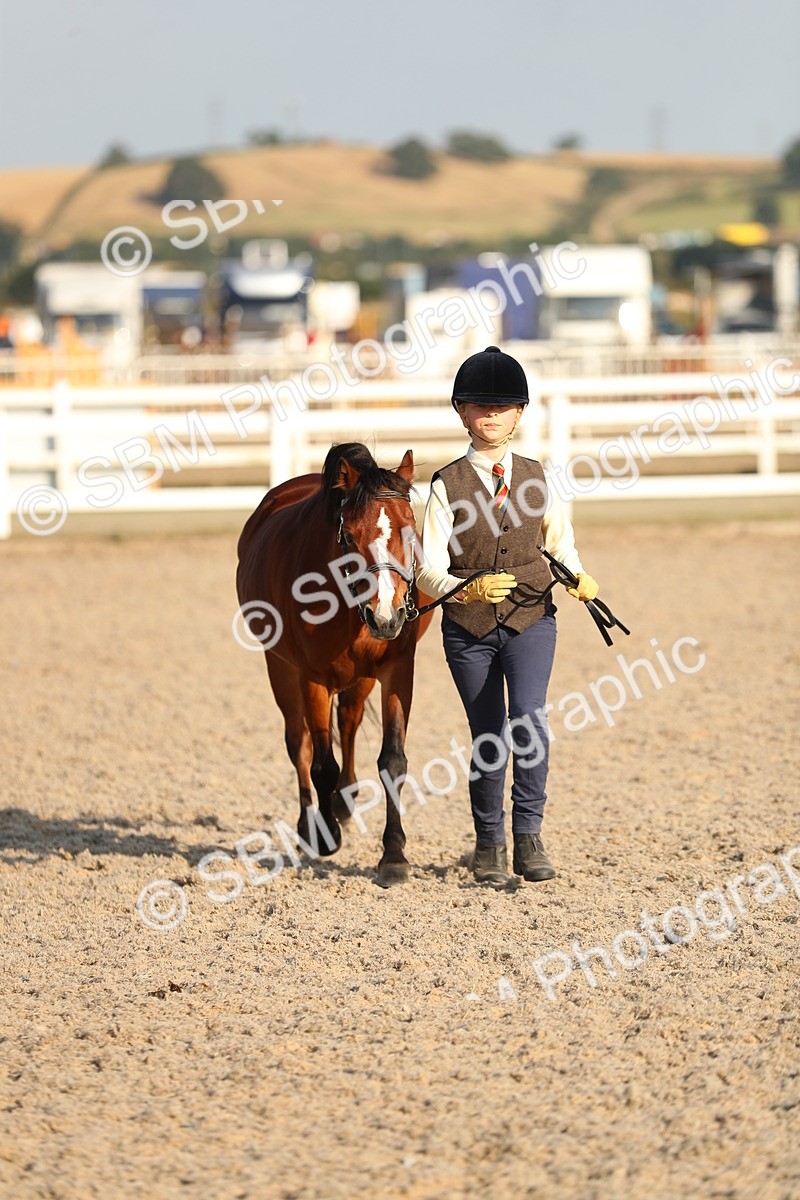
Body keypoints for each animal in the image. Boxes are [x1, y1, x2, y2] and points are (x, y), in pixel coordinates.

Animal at [236, 442, 434, 887]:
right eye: (349, 535)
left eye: (411, 528)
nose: (387, 616)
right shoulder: (312, 678)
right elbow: (322, 763)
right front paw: (325, 836)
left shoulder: (398, 670)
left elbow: (392, 760)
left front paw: (393, 855)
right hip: (281, 669)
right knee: (300, 744)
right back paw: (311, 824)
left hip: (361, 676)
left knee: (349, 720)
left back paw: (345, 800)